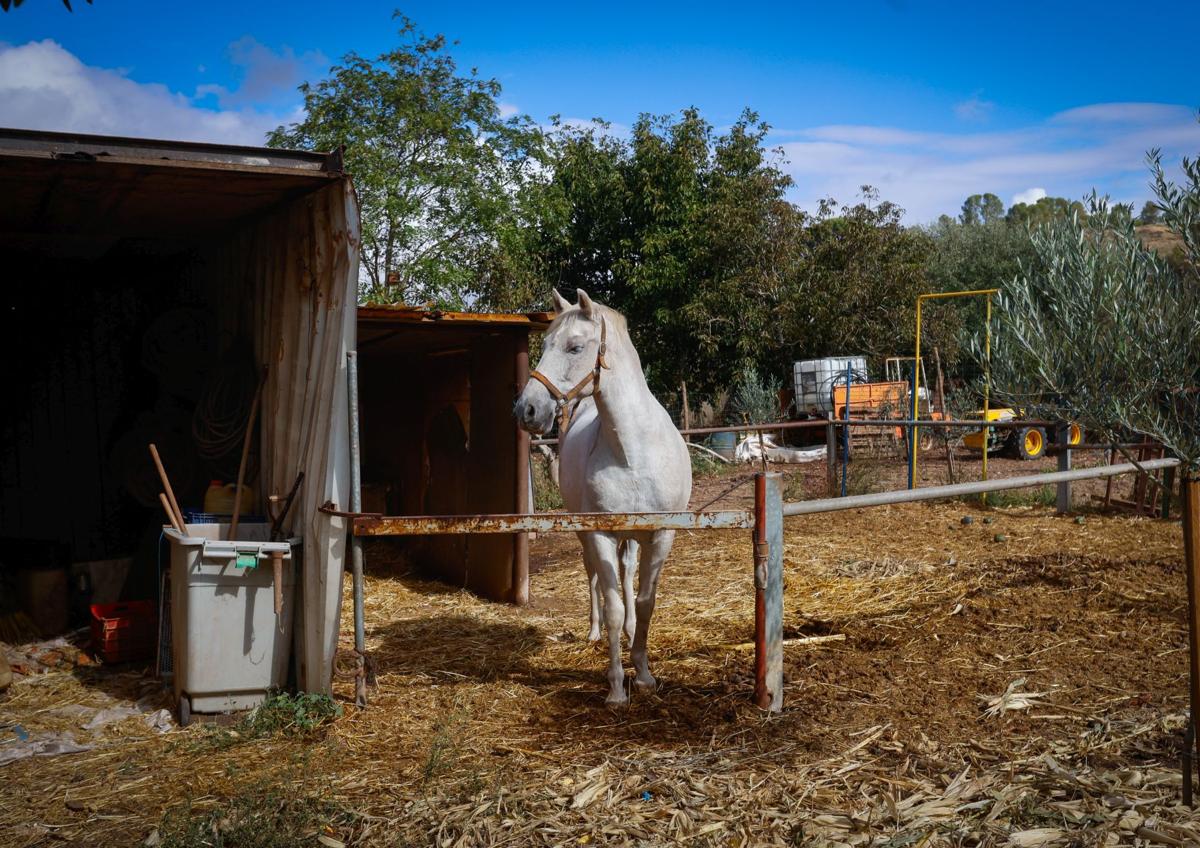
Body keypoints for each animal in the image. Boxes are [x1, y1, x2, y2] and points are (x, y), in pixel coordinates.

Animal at [511, 289, 691, 705]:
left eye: (575, 346)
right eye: (545, 343)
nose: (527, 410)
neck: (633, 451)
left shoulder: (661, 535)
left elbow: (644, 602)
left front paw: (644, 674)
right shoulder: (600, 533)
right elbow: (612, 606)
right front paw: (616, 687)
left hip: (633, 538)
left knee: (626, 573)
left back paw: (630, 633)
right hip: (586, 535)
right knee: (593, 575)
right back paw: (594, 632)